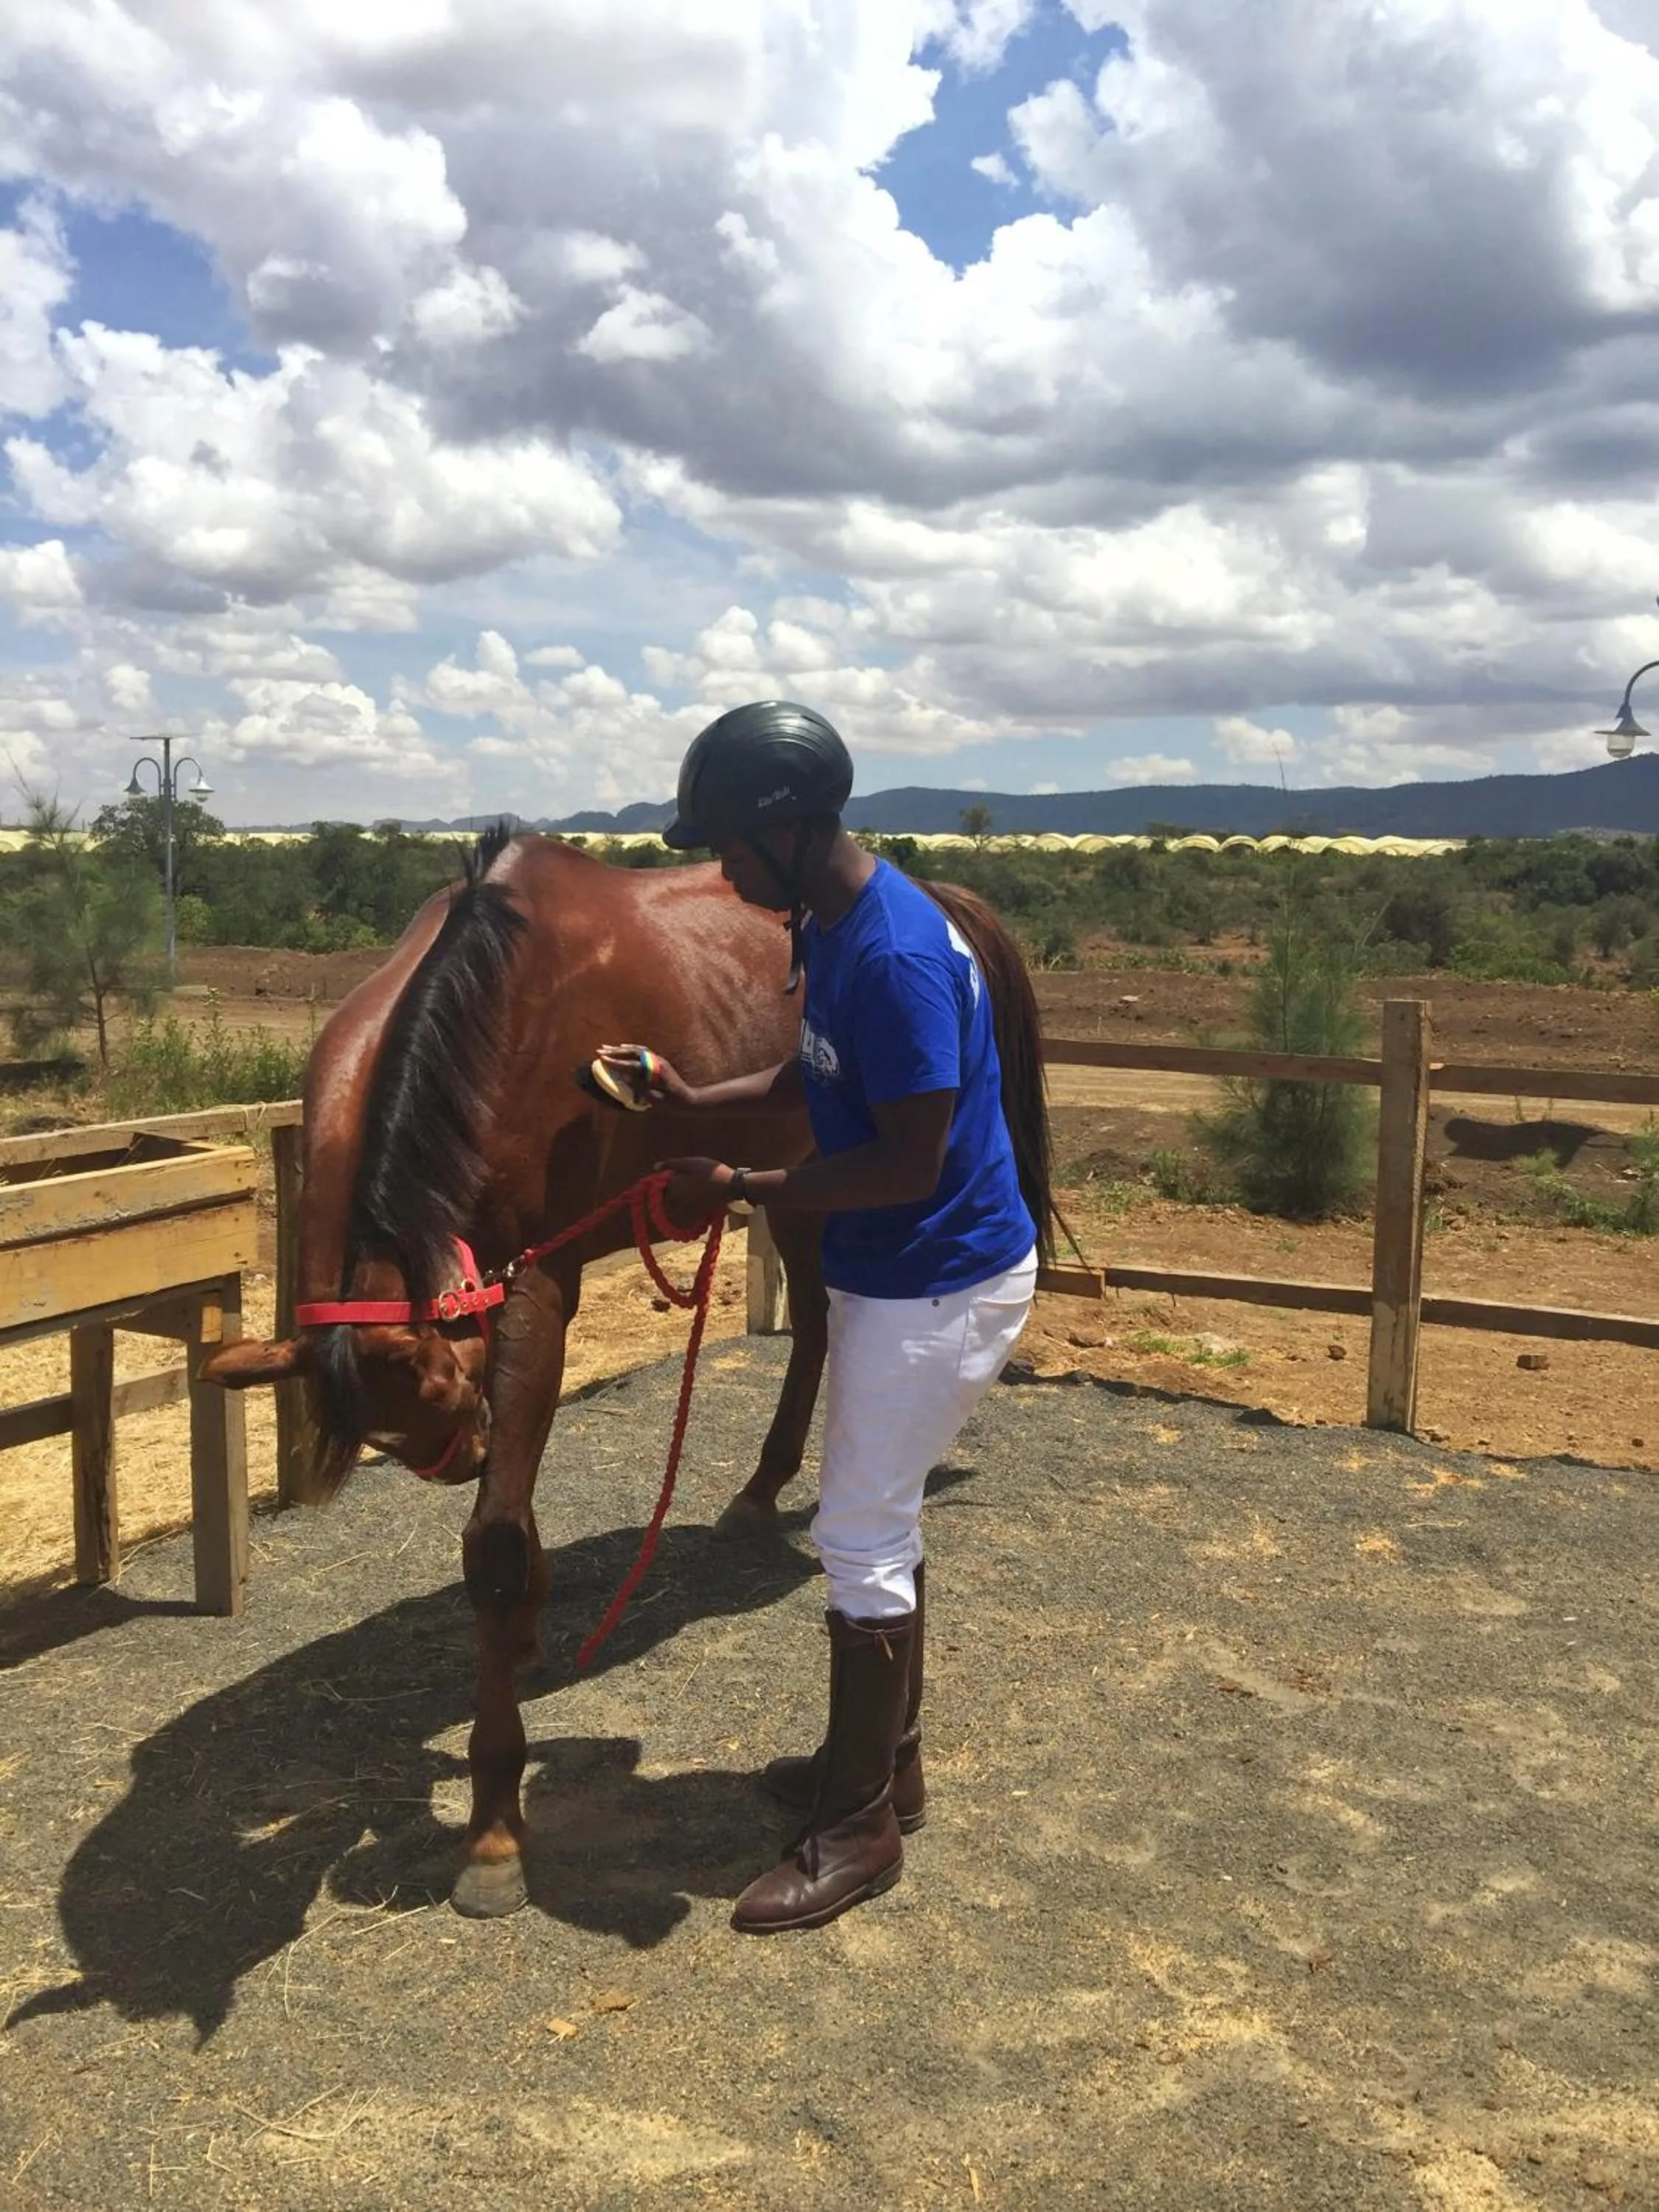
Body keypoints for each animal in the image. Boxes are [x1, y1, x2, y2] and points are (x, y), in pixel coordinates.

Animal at [203, 827, 1052, 1918]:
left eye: (449, 1401)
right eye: (403, 1437)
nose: (466, 1448)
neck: (487, 1015)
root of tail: (938, 895)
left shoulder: (537, 1289)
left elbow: (492, 1548)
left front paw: (492, 1828)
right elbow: (511, 1527)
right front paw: (526, 1621)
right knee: (823, 1323)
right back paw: (761, 1487)